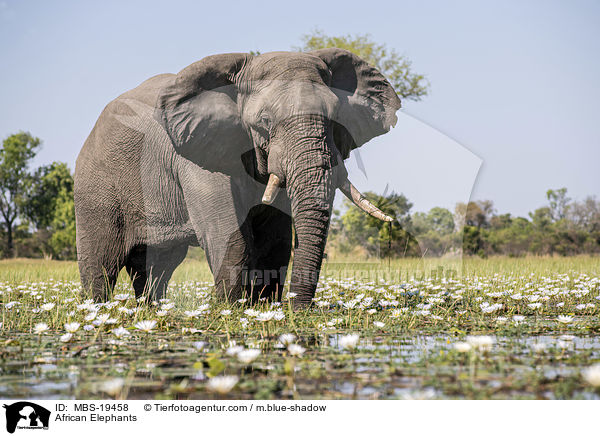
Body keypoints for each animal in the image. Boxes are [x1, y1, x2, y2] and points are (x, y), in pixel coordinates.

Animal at [76, 49, 404, 308]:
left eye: (337, 116)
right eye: (265, 121)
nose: (299, 310)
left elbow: (275, 238)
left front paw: (263, 308)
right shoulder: (197, 155)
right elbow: (230, 235)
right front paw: (231, 310)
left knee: (158, 266)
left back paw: (151, 310)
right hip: (96, 185)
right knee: (101, 264)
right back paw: (97, 308)